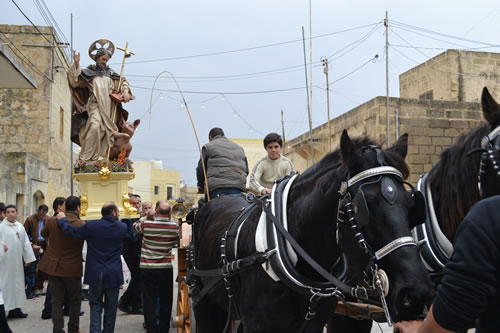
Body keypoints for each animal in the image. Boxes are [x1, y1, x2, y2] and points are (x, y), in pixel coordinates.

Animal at [191, 130, 434, 332]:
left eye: (412, 205)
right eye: (363, 207)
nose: (415, 293)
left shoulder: (313, 324)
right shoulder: (258, 325)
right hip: (204, 305)